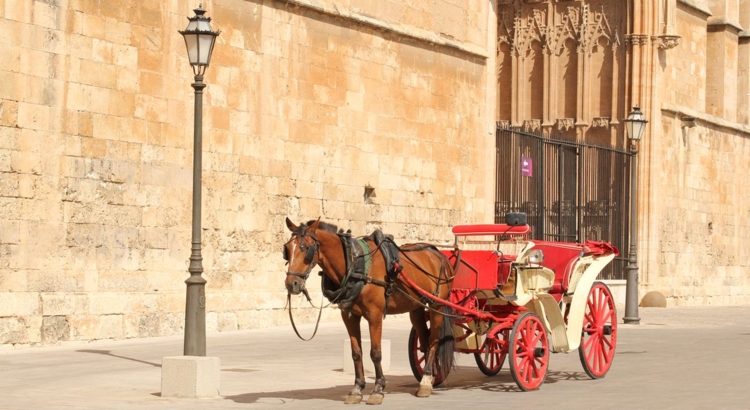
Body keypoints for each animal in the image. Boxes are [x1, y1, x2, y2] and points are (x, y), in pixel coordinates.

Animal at [282, 217, 455, 404]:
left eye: (307, 249)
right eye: (287, 249)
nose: (291, 284)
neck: (354, 265)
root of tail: (439, 254)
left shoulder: (375, 315)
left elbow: (376, 353)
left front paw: (378, 389)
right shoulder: (349, 316)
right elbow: (356, 353)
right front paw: (357, 389)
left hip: (437, 307)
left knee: (433, 341)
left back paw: (425, 382)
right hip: (416, 309)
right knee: (424, 340)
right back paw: (428, 378)